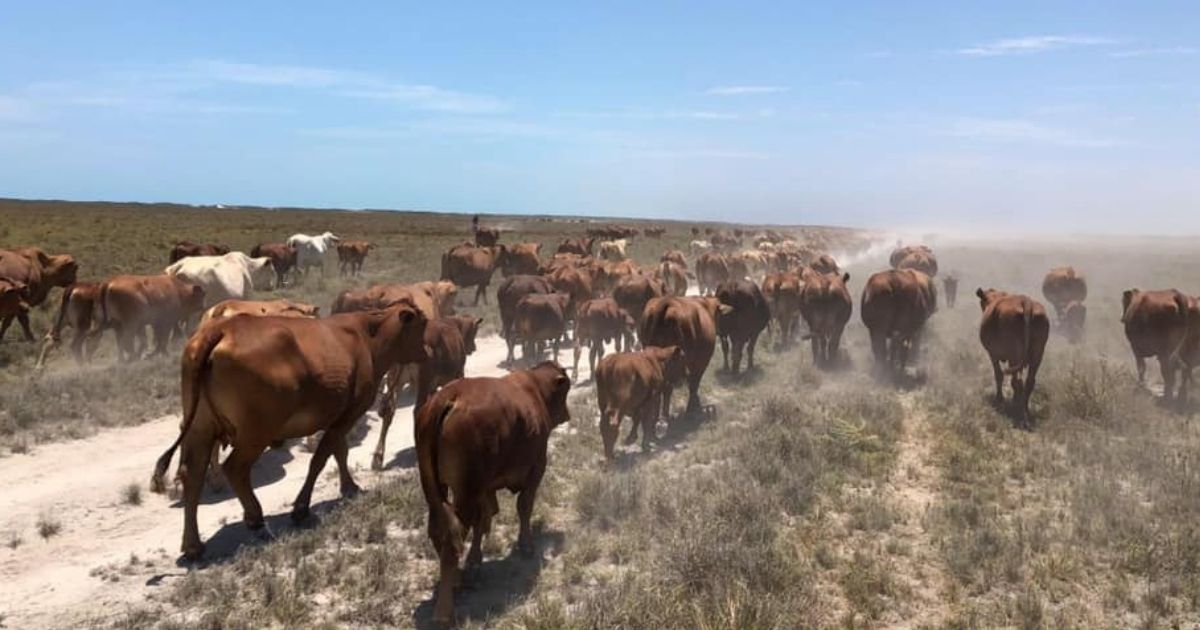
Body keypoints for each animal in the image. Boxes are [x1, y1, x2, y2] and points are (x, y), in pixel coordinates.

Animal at [152, 302, 429, 556]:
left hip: (200, 428)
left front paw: (348, 486)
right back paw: (255, 519)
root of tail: (221, 329)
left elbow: (339, 451)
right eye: (422, 324)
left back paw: (193, 544)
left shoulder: (339, 416)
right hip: (256, 433)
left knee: (192, 475)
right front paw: (301, 507)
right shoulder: (349, 413)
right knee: (235, 469)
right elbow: (321, 458)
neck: (367, 335)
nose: (428, 352)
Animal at [417, 360, 571, 619]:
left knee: (438, 530)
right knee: (452, 538)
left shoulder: (485, 489)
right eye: (566, 390)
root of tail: (449, 397)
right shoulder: (537, 466)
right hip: (466, 492)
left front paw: (475, 561)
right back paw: (444, 610)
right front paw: (526, 545)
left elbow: (483, 521)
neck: (535, 390)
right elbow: (524, 507)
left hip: (436, 490)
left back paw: (456, 579)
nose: (568, 414)